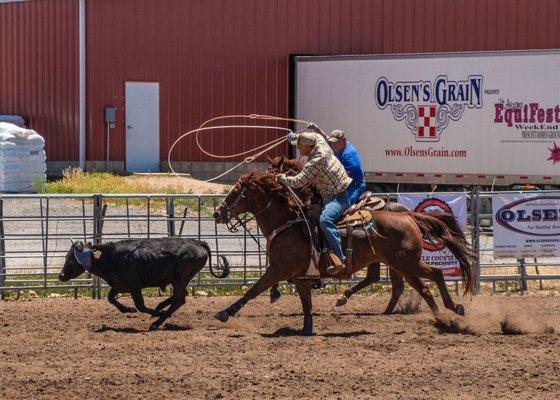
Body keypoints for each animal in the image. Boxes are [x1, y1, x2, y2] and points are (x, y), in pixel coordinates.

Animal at [212, 170, 474, 336]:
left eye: (235, 191)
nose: (217, 213)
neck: (287, 222)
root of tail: (408, 216)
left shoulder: (277, 269)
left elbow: (253, 290)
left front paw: (224, 313)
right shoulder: (300, 276)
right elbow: (306, 304)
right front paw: (306, 329)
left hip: (408, 263)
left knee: (435, 275)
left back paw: (454, 309)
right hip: (401, 264)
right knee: (420, 287)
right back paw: (441, 318)